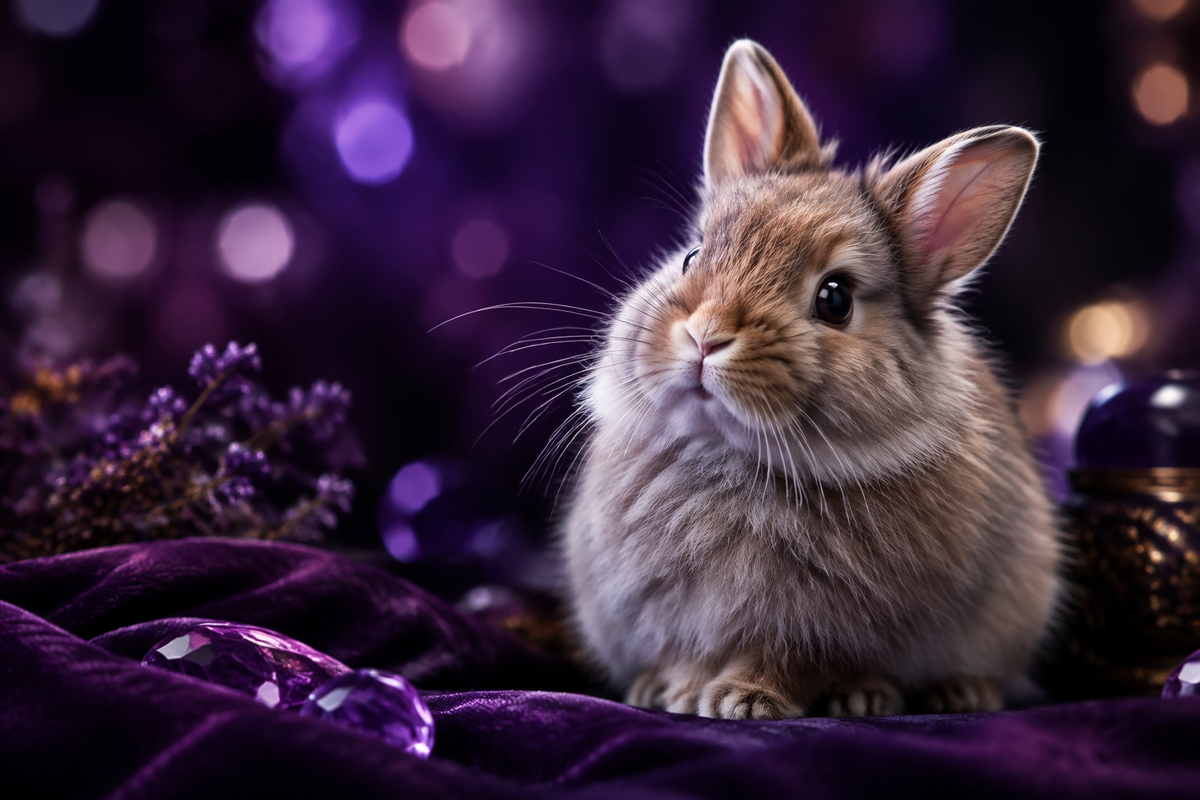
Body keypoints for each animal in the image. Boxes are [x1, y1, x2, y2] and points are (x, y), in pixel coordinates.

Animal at [558, 39, 1062, 720]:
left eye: (835, 299)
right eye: (691, 256)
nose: (706, 336)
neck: (731, 456)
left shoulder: (816, 632)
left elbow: (788, 661)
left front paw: (743, 701)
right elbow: (685, 655)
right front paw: (684, 694)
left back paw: (921, 695)